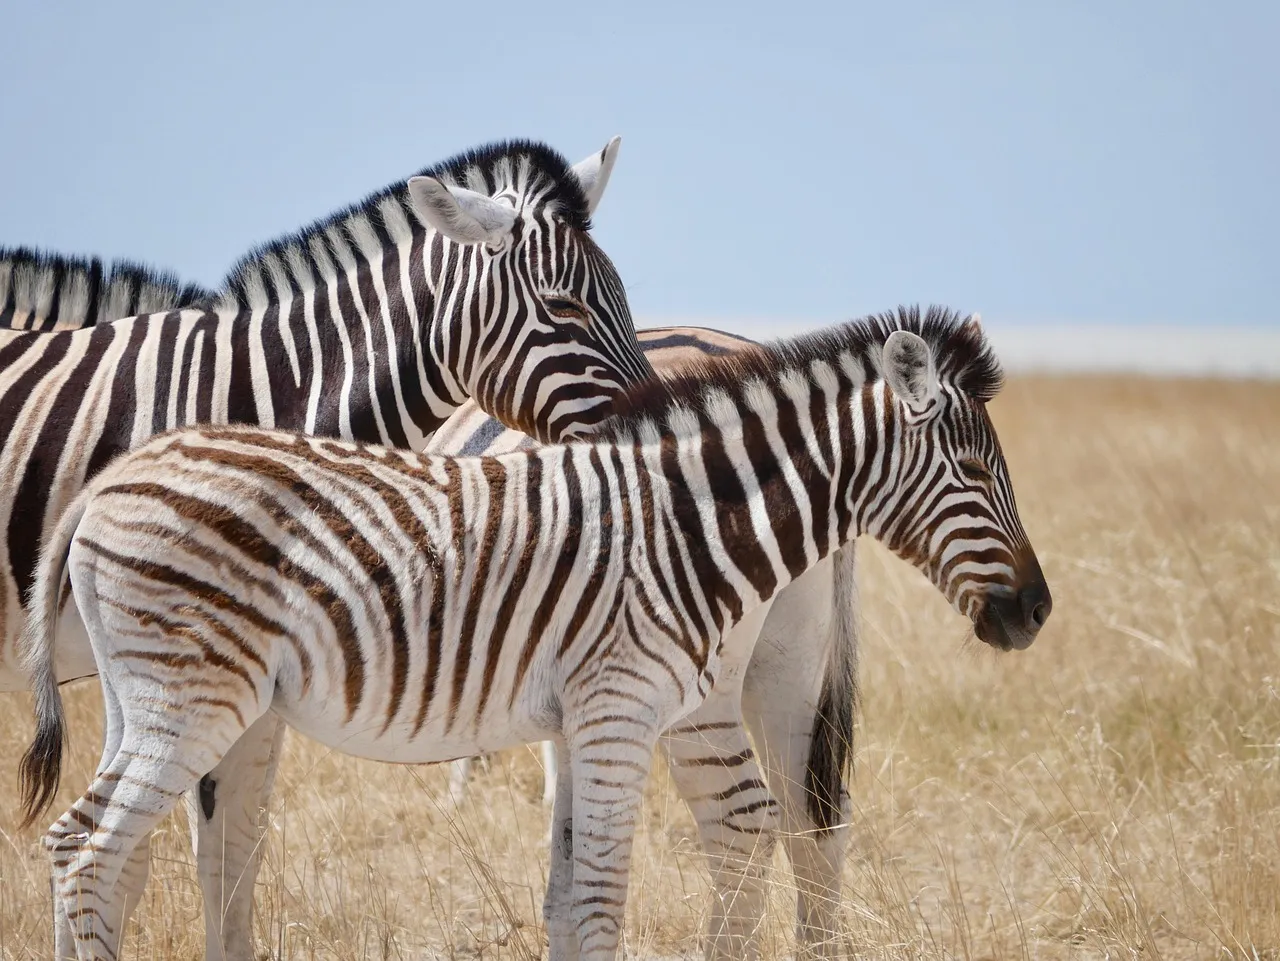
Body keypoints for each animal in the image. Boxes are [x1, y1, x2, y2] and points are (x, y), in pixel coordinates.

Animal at [19, 306, 1052, 961]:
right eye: (972, 468)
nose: (1037, 611)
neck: (687, 520)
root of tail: (104, 485)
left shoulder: (589, 718)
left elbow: (574, 895)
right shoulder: (617, 709)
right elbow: (596, 899)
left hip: (145, 694)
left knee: (79, 845)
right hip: (191, 698)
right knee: (91, 846)